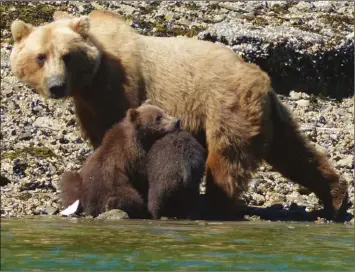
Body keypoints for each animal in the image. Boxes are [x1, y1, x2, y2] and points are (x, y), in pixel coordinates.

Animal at [9, 10, 350, 221]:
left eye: (67, 56)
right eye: (40, 57)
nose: (56, 86)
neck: (91, 79)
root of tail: (261, 78)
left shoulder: (121, 88)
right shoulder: (90, 103)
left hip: (226, 105)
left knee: (227, 157)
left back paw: (212, 206)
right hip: (271, 116)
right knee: (294, 152)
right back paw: (334, 197)